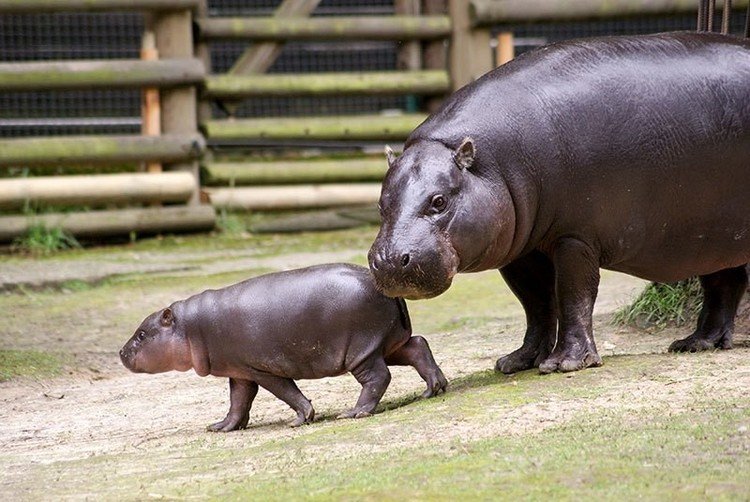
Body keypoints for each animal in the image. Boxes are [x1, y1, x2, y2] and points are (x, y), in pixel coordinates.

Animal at [118, 262, 446, 432]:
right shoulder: (239, 371)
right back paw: (433, 389)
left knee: (378, 378)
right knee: (418, 346)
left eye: (143, 334)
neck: (189, 326)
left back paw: (353, 413)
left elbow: (286, 392)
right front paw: (221, 427)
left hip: (361, 352)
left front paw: (300, 419)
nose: (121, 352)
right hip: (387, 344)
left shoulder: (261, 369)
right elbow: (238, 401)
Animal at [370, 32, 750, 372]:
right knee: (724, 282)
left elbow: (572, 296)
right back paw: (696, 343)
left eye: (438, 201)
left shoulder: (575, 237)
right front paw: (517, 362)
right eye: (381, 203)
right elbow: (536, 304)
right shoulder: (522, 251)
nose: (388, 260)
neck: (489, 163)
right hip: (715, 236)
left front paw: (564, 363)